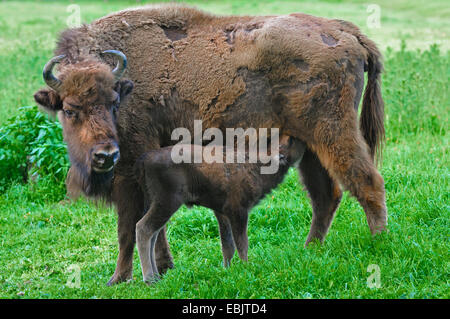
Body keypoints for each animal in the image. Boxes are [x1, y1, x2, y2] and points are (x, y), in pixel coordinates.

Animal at [134, 136, 306, 284]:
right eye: (291, 141)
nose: (304, 142)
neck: (258, 164)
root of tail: (145, 158)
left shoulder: (222, 213)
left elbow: (228, 245)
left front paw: (227, 269)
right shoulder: (238, 211)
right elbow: (242, 243)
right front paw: (246, 268)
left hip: (157, 204)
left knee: (153, 234)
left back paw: (156, 277)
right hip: (166, 203)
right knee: (144, 228)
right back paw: (149, 279)